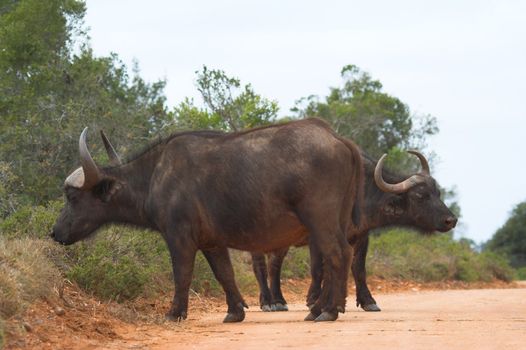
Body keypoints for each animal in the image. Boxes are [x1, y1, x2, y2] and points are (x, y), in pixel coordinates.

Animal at [52, 119, 368, 322]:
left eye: (72, 196)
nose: (55, 232)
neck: (155, 176)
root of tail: (339, 140)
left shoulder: (179, 238)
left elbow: (182, 274)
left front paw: (174, 313)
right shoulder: (212, 242)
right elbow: (224, 273)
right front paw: (235, 311)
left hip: (321, 221)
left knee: (338, 254)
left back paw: (328, 311)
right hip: (334, 222)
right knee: (334, 257)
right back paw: (320, 309)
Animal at [252, 150, 458, 320]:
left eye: (438, 193)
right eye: (420, 196)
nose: (451, 220)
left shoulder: (361, 236)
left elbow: (357, 268)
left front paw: (367, 301)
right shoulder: (316, 238)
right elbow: (319, 269)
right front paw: (314, 300)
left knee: (274, 265)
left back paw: (278, 301)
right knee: (260, 266)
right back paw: (268, 302)